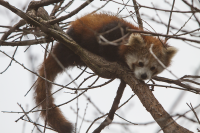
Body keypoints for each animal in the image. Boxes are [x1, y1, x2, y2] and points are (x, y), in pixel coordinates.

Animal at [34, 12, 177, 133]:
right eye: (140, 63)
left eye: (153, 68)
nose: (144, 75)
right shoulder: (111, 31)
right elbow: (104, 45)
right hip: (74, 37)